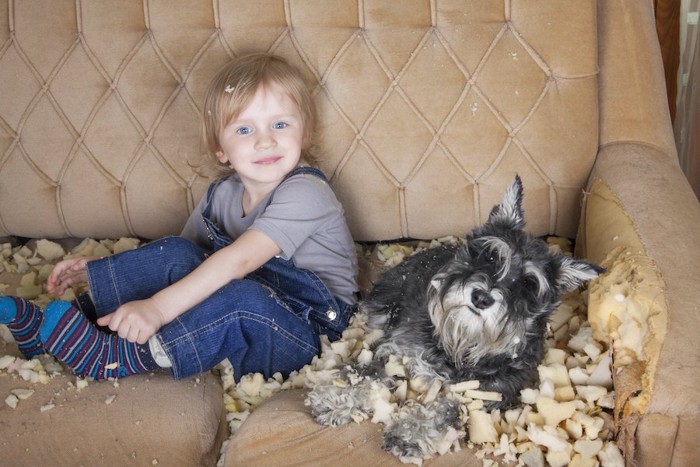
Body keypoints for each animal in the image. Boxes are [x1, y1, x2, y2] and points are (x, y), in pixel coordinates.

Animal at [306, 176, 600, 460]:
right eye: (491, 255)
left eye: (529, 284)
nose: (481, 298)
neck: (462, 344)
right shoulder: (395, 353)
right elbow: (365, 374)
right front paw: (336, 398)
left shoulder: (484, 394)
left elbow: (446, 409)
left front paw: (409, 435)